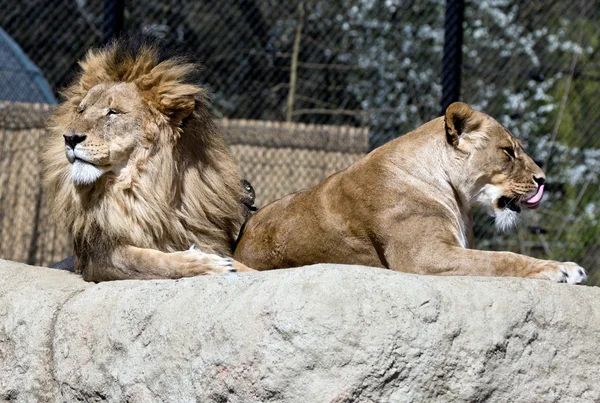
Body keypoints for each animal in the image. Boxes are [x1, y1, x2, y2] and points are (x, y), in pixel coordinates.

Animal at [41, 39, 253, 282]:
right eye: (81, 111)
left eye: (113, 112)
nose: (69, 138)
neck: (141, 188)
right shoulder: (98, 257)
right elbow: (151, 261)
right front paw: (208, 264)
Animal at [234, 102, 584, 284]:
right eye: (509, 152)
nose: (542, 180)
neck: (454, 194)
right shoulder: (424, 257)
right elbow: (500, 260)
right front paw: (559, 268)